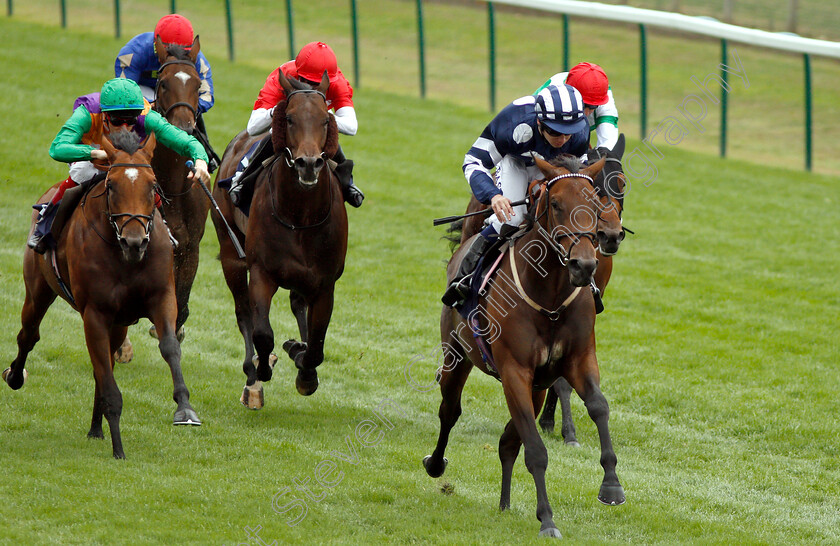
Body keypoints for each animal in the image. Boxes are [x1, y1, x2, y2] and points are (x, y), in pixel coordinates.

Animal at [5, 130, 203, 456]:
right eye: (111, 186)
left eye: (153, 186)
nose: (135, 242)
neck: (125, 258)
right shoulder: (95, 313)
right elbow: (108, 380)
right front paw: (118, 447)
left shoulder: (161, 298)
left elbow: (170, 347)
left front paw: (184, 409)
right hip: (38, 290)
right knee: (29, 335)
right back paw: (14, 375)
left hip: (119, 323)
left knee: (105, 360)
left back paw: (96, 428)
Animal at [215, 69, 350, 408]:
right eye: (288, 118)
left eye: (325, 120)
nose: (309, 164)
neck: (300, 215)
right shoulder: (262, 272)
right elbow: (263, 332)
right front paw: (263, 369)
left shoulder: (324, 282)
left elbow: (316, 344)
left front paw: (305, 370)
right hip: (230, 253)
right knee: (243, 313)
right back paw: (252, 376)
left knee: (298, 305)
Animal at [426, 155, 624, 536]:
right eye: (556, 204)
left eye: (594, 205)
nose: (584, 264)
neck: (550, 296)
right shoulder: (514, 371)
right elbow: (535, 449)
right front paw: (547, 519)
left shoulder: (577, 360)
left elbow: (599, 407)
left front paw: (611, 485)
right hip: (457, 357)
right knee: (450, 410)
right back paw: (435, 463)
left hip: (536, 388)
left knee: (507, 439)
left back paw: (504, 503)